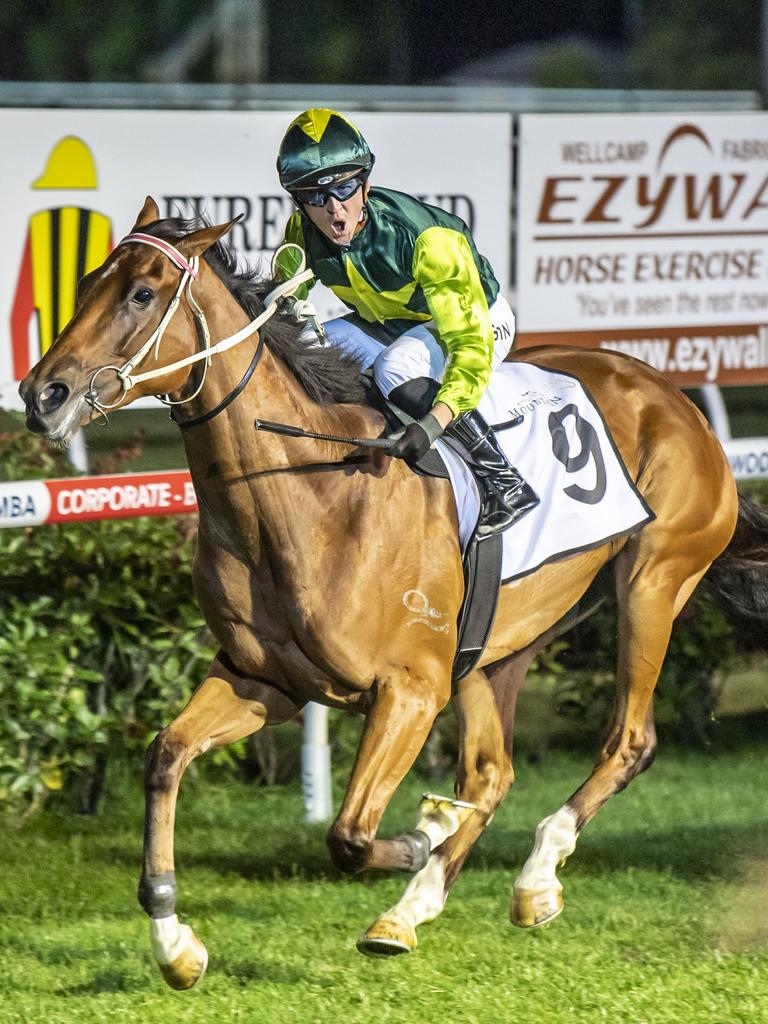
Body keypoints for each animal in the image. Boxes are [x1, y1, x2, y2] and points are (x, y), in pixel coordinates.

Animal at [19, 195, 768, 987]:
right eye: (88, 282)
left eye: (141, 294)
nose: (42, 394)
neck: (307, 491)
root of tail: (671, 396)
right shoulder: (265, 679)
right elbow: (165, 757)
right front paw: (175, 944)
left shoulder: (409, 690)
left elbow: (350, 834)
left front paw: (419, 836)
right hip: (498, 641)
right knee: (492, 771)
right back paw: (410, 910)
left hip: (652, 582)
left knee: (628, 741)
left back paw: (534, 875)